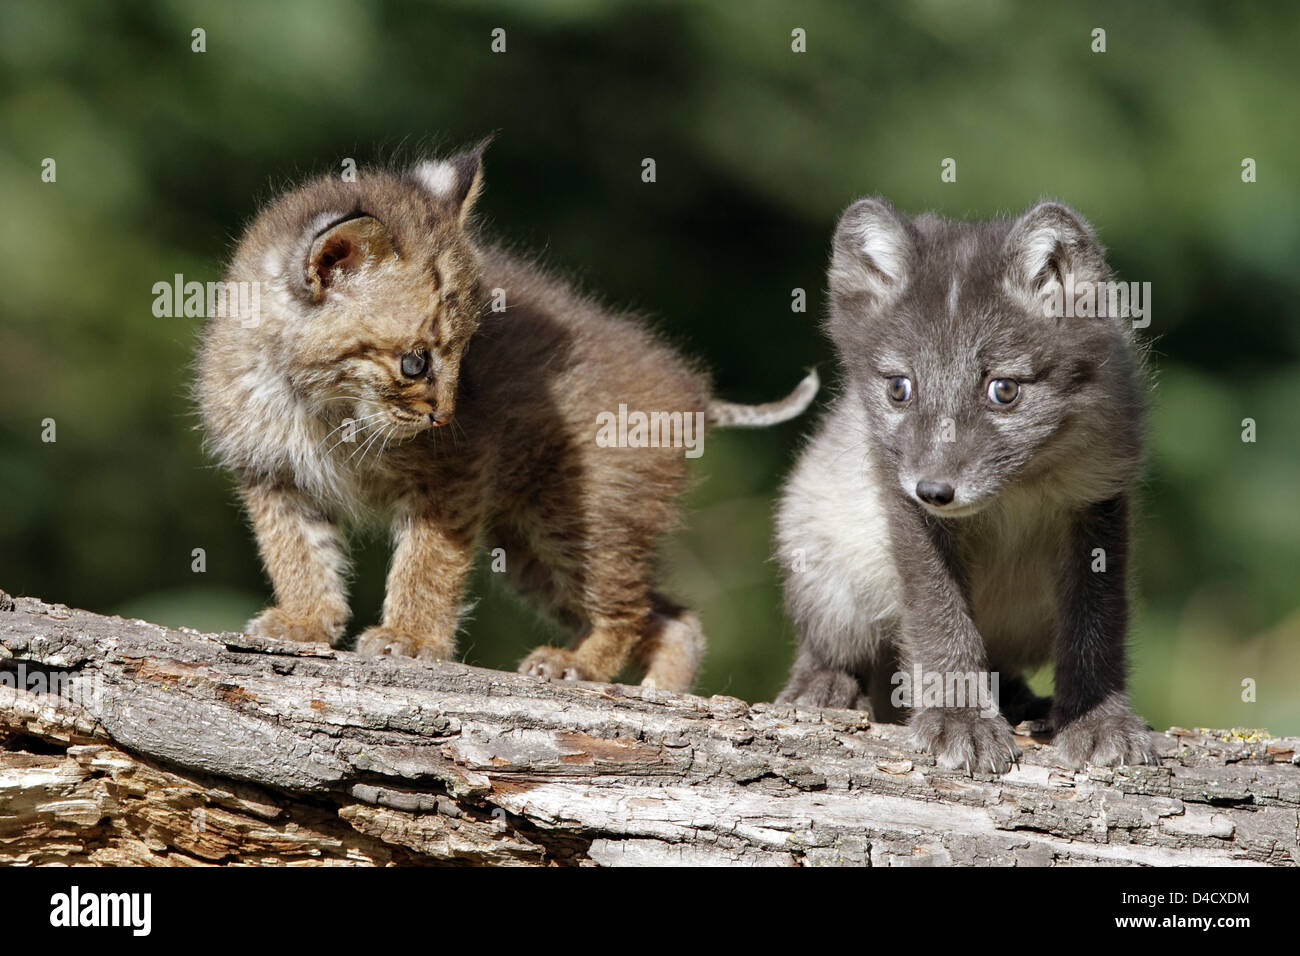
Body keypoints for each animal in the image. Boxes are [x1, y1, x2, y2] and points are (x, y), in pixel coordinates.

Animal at [197, 145, 816, 691]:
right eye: (415, 362)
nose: (445, 416)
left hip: (580, 512)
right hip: (529, 547)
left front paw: (409, 638)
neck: (313, 400)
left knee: (631, 606)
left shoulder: (454, 472)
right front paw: (304, 621)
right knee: (674, 618)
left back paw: (581, 665)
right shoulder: (271, 475)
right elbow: (295, 552)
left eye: (467, 352)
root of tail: (696, 396)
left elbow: (429, 561)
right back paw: (659, 693)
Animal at [774, 197, 1154, 775]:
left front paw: (1096, 720)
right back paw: (822, 684)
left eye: (1004, 390)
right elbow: (939, 616)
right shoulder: (901, 500)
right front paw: (961, 721)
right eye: (899, 388)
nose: (935, 490)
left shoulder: (1099, 494)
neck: (1018, 487)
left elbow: (1097, 623)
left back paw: (1022, 703)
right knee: (828, 643)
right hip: (820, 555)